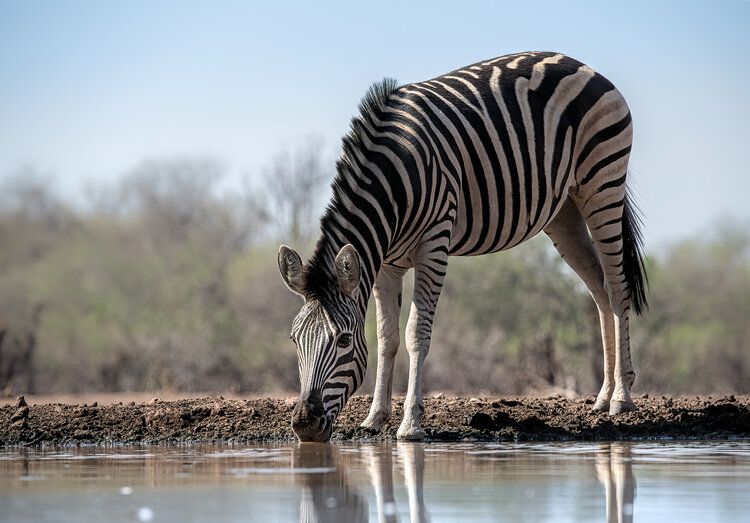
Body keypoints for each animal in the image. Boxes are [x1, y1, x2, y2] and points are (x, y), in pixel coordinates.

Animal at [280, 51, 648, 442]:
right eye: (294, 340)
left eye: (344, 341)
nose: (304, 426)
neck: (395, 179)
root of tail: (581, 64)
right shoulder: (386, 264)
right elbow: (386, 337)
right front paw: (375, 417)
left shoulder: (434, 245)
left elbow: (415, 334)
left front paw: (411, 424)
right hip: (565, 210)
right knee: (599, 290)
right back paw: (603, 397)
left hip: (603, 184)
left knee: (618, 287)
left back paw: (622, 399)